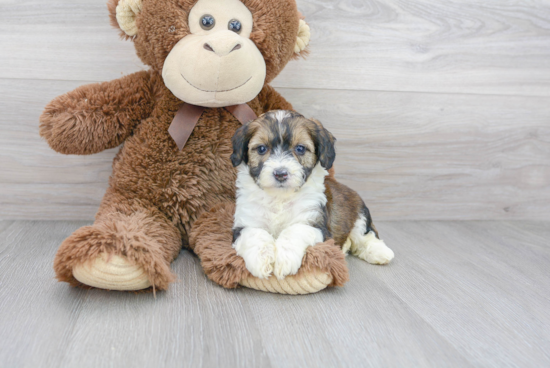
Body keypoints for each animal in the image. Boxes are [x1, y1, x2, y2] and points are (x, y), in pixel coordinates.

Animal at [231, 109, 394, 278]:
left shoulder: (315, 222)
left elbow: (295, 231)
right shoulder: (246, 221)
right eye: (262, 149)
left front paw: (284, 259)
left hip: (359, 215)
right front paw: (261, 259)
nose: (281, 174)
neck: (280, 197)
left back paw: (380, 252)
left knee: (365, 235)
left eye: (300, 148)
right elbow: (254, 235)